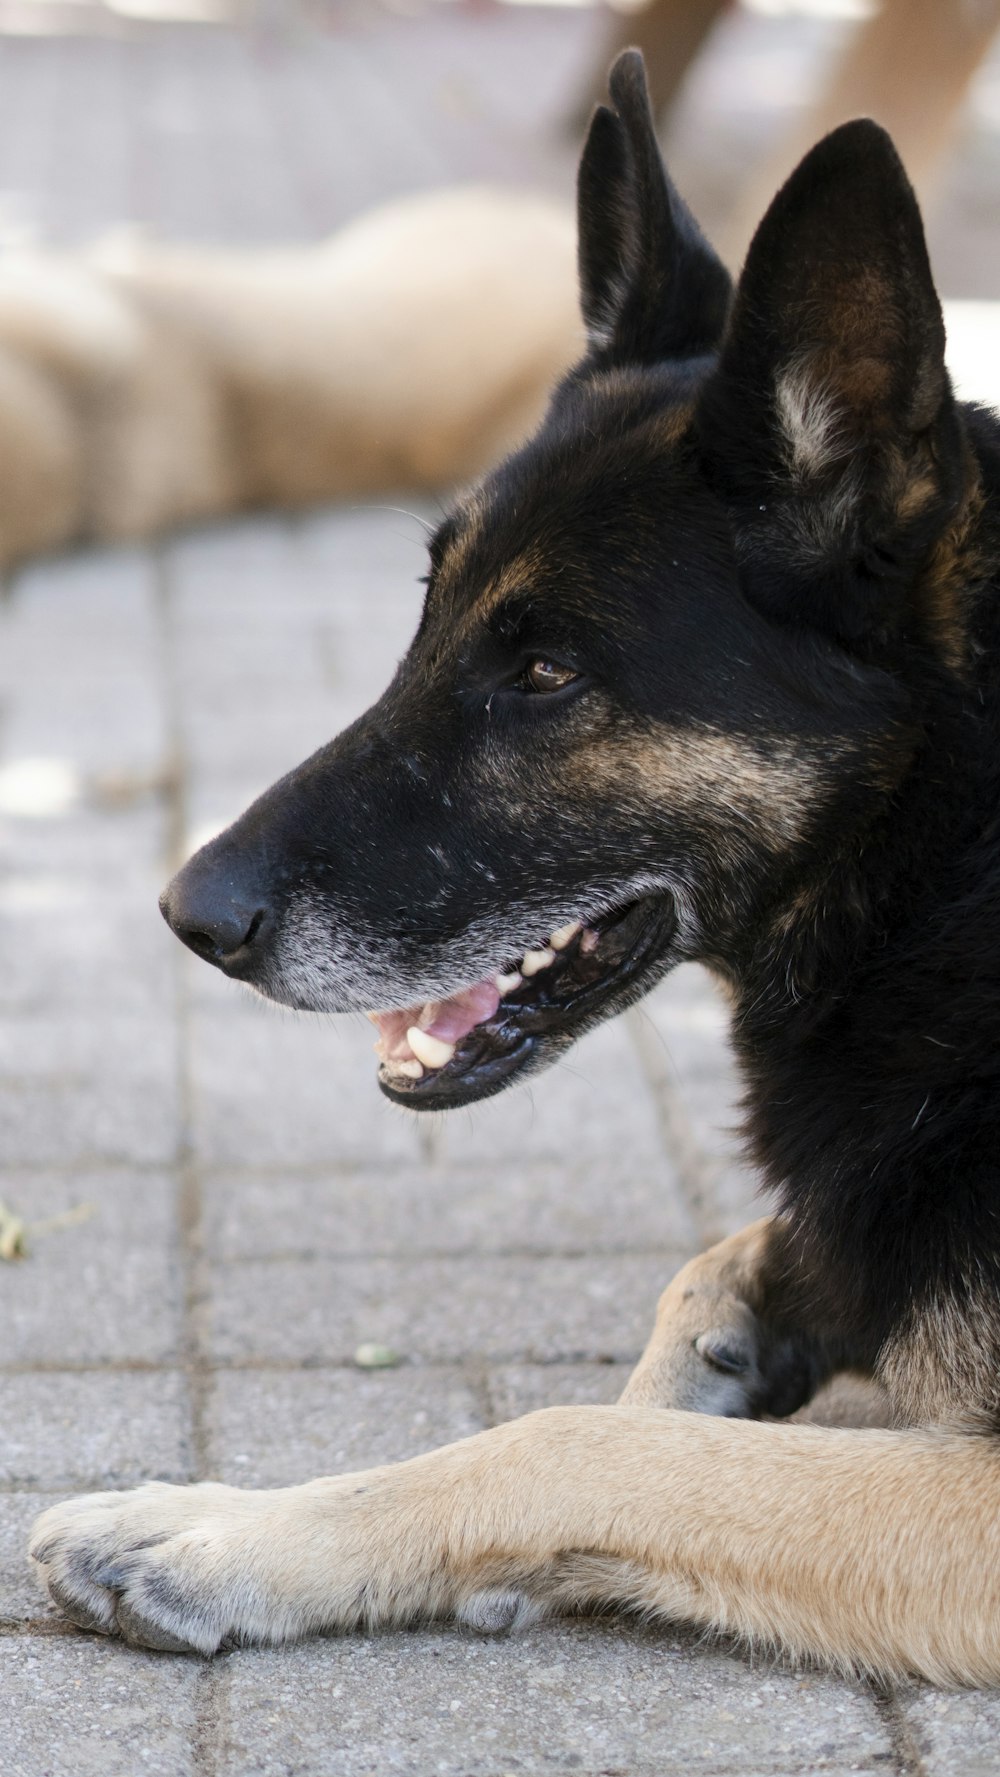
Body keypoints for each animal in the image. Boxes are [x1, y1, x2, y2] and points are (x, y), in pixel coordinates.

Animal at [27, 55, 1000, 1684]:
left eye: (543, 673)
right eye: (428, 621)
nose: (186, 913)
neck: (952, 859)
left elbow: (566, 1439)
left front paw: (223, 1534)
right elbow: (706, 1296)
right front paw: (721, 1351)